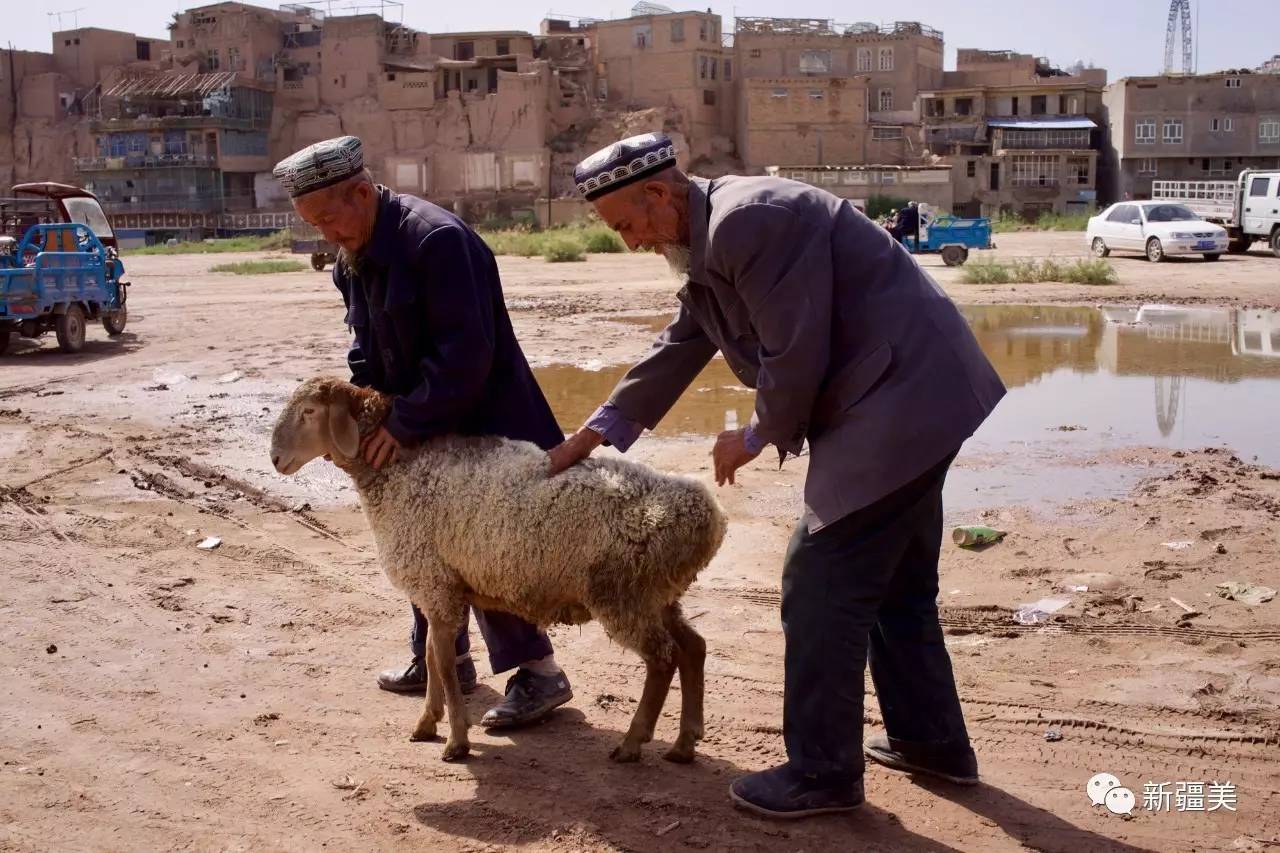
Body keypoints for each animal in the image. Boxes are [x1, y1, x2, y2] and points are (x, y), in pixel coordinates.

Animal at [267, 376, 732, 758]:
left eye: (309, 412)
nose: (274, 459)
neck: (400, 469)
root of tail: (707, 514)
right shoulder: (439, 587)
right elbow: (434, 659)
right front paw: (427, 723)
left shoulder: (434, 585)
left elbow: (444, 667)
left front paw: (456, 742)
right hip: (657, 591)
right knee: (693, 647)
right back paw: (685, 742)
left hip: (623, 593)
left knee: (662, 659)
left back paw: (634, 742)